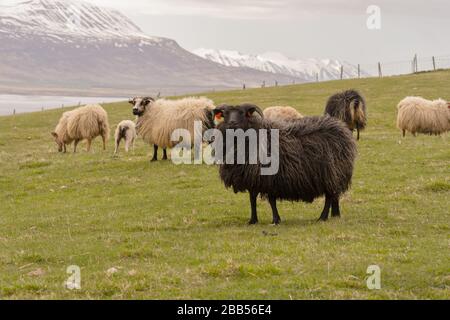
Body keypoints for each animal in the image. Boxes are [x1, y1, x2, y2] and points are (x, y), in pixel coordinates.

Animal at [213, 104, 356, 224]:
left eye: (242, 113)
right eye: (225, 114)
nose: (232, 122)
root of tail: (341, 127)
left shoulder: (269, 177)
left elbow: (271, 200)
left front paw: (276, 220)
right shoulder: (252, 178)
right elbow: (252, 199)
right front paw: (253, 220)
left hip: (330, 173)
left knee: (329, 196)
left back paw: (323, 217)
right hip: (335, 174)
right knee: (334, 195)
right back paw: (335, 214)